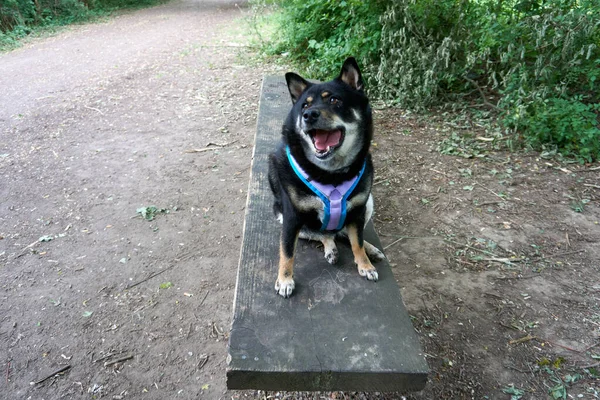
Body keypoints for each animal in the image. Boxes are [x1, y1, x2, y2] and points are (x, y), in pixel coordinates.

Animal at [268, 57, 384, 298]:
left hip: (368, 203)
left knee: (344, 234)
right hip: (283, 216)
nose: (309, 115)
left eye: (334, 99)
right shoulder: (291, 217)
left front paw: (365, 264)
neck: (330, 173)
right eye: (305, 105)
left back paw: (369, 250)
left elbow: (357, 240)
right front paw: (285, 280)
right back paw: (331, 249)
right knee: (323, 235)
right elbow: (287, 251)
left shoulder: (358, 210)